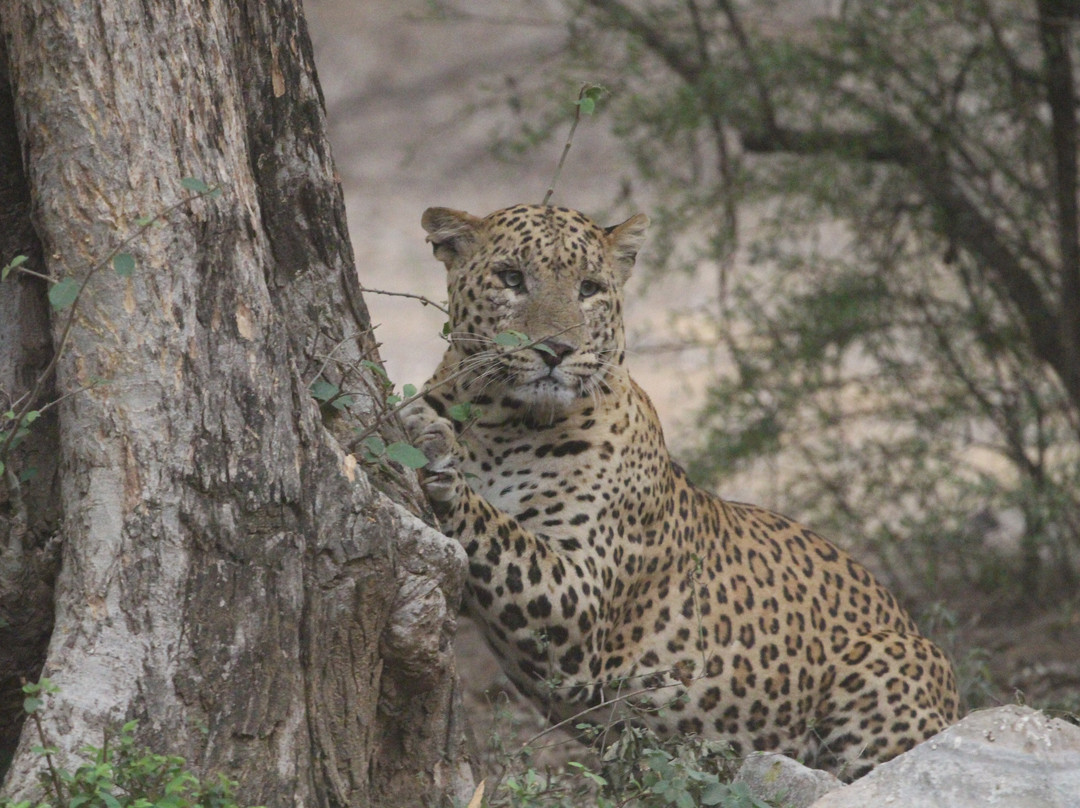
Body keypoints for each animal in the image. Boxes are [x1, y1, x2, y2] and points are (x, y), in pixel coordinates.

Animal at [403, 202, 960, 778]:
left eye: (589, 288)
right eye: (512, 278)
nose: (556, 350)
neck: (500, 422)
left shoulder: (579, 593)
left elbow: (499, 530)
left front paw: (437, 458)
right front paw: (426, 424)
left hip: (883, 668)